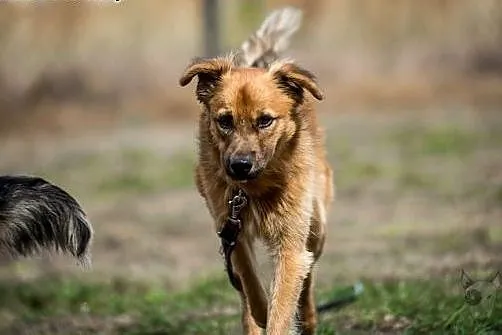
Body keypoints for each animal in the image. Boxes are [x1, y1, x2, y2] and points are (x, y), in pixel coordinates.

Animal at [180, 7, 334, 335]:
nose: (239, 166)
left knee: (308, 276)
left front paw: (280, 315)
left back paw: (309, 317)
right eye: (224, 121)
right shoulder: (230, 229)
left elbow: (286, 298)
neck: (255, 188)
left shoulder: (291, 243)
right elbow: (250, 280)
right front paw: (261, 310)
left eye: (265, 121)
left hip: (317, 226)